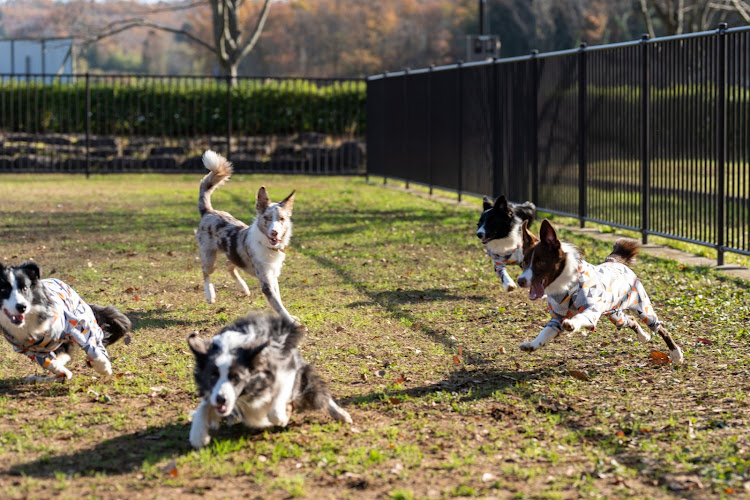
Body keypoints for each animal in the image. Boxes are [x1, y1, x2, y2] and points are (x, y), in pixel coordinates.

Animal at [0, 260, 132, 380]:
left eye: (25, 288)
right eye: (3, 290)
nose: (21, 307)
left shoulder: (75, 325)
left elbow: (90, 345)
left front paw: (103, 367)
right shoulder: (28, 349)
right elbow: (47, 362)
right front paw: (61, 371)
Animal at [188, 312, 352, 450]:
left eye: (236, 378)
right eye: (212, 376)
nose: (221, 399)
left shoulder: (287, 371)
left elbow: (276, 409)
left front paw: (284, 416)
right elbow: (204, 407)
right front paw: (198, 435)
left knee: (321, 395)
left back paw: (342, 415)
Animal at [197, 149, 300, 324]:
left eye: (281, 219)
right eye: (267, 218)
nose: (274, 232)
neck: (267, 246)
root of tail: (209, 211)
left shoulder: (273, 275)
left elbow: (279, 299)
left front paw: (289, 316)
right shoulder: (266, 282)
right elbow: (277, 304)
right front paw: (291, 321)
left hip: (233, 254)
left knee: (229, 265)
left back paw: (243, 288)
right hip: (209, 256)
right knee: (205, 272)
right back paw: (210, 295)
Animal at [516, 220, 688, 364]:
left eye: (540, 262)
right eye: (524, 262)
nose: (520, 281)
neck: (566, 285)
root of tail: (614, 261)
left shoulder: (591, 312)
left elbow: (579, 317)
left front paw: (571, 324)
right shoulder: (556, 319)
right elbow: (544, 333)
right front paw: (532, 345)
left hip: (642, 307)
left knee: (660, 327)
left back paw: (676, 354)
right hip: (615, 315)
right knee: (631, 320)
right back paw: (644, 337)